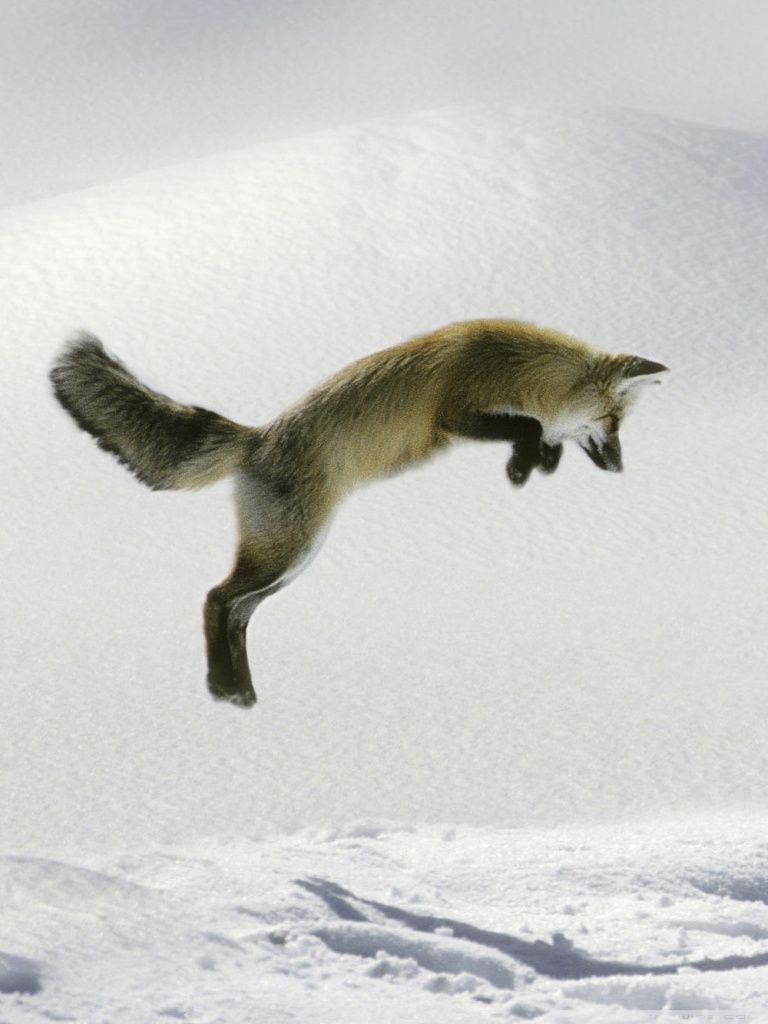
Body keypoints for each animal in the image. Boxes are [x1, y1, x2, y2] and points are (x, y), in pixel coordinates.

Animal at [50, 319, 667, 709]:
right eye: (613, 422)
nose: (619, 469)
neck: (517, 366)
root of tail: (257, 438)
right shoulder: (452, 412)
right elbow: (530, 425)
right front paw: (524, 464)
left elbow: (539, 434)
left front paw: (536, 464)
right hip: (288, 550)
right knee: (216, 598)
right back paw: (224, 689)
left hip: (294, 559)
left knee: (238, 612)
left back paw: (240, 694)